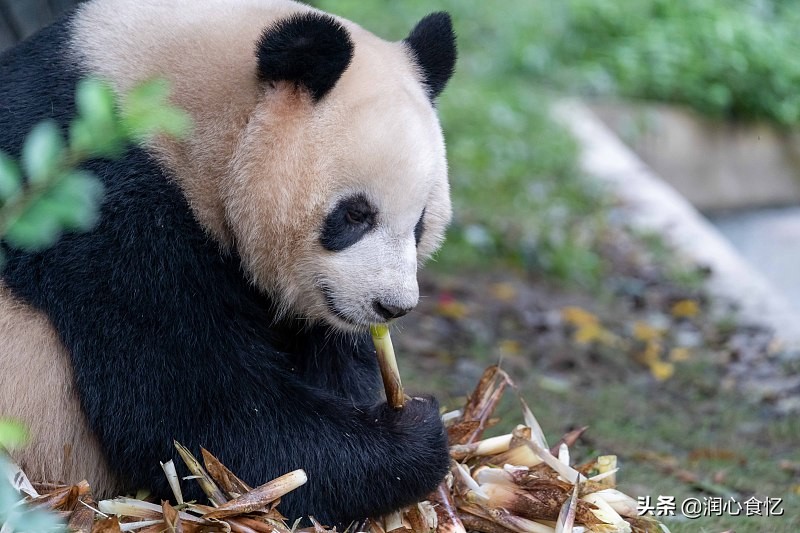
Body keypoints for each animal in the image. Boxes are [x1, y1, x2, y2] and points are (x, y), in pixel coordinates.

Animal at [0, 0, 456, 524]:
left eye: (420, 221)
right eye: (355, 214)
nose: (391, 306)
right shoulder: (98, 206)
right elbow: (193, 411)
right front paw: (413, 433)